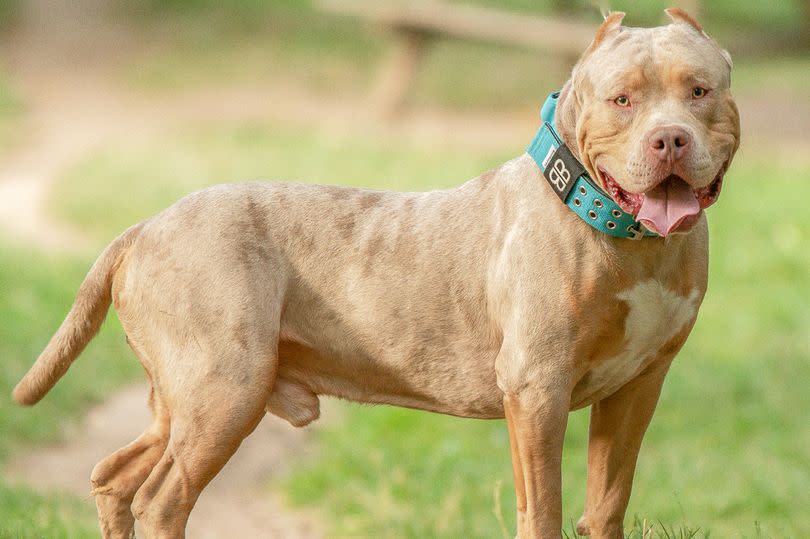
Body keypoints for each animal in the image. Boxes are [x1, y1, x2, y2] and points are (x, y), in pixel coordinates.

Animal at [12, 8, 736, 539]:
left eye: (700, 92)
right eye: (622, 100)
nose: (670, 139)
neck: (621, 233)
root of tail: (145, 226)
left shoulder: (637, 386)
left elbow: (607, 502)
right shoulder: (537, 390)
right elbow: (545, 511)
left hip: (181, 400)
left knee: (116, 476)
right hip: (224, 389)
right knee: (163, 499)